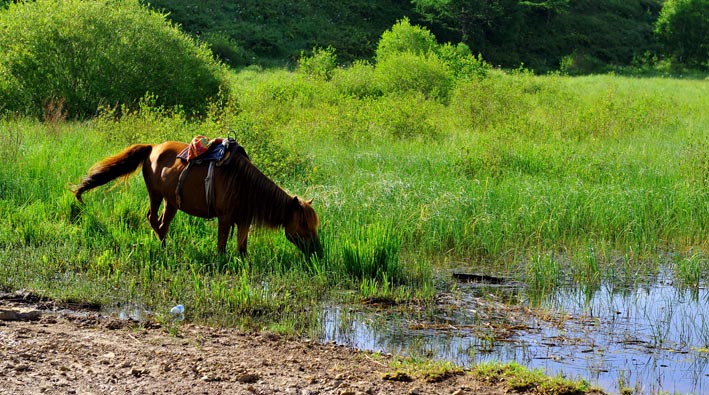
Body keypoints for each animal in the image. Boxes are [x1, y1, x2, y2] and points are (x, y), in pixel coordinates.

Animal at [73, 141, 322, 262]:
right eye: (303, 224)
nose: (318, 252)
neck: (244, 185)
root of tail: (153, 148)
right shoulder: (225, 218)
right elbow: (221, 247)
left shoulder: (243, 220)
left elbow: (242, 249)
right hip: (156, 195)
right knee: (153, 219)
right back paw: (163, 245)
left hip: (172, 202)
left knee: (162, 223)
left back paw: (165, 246)